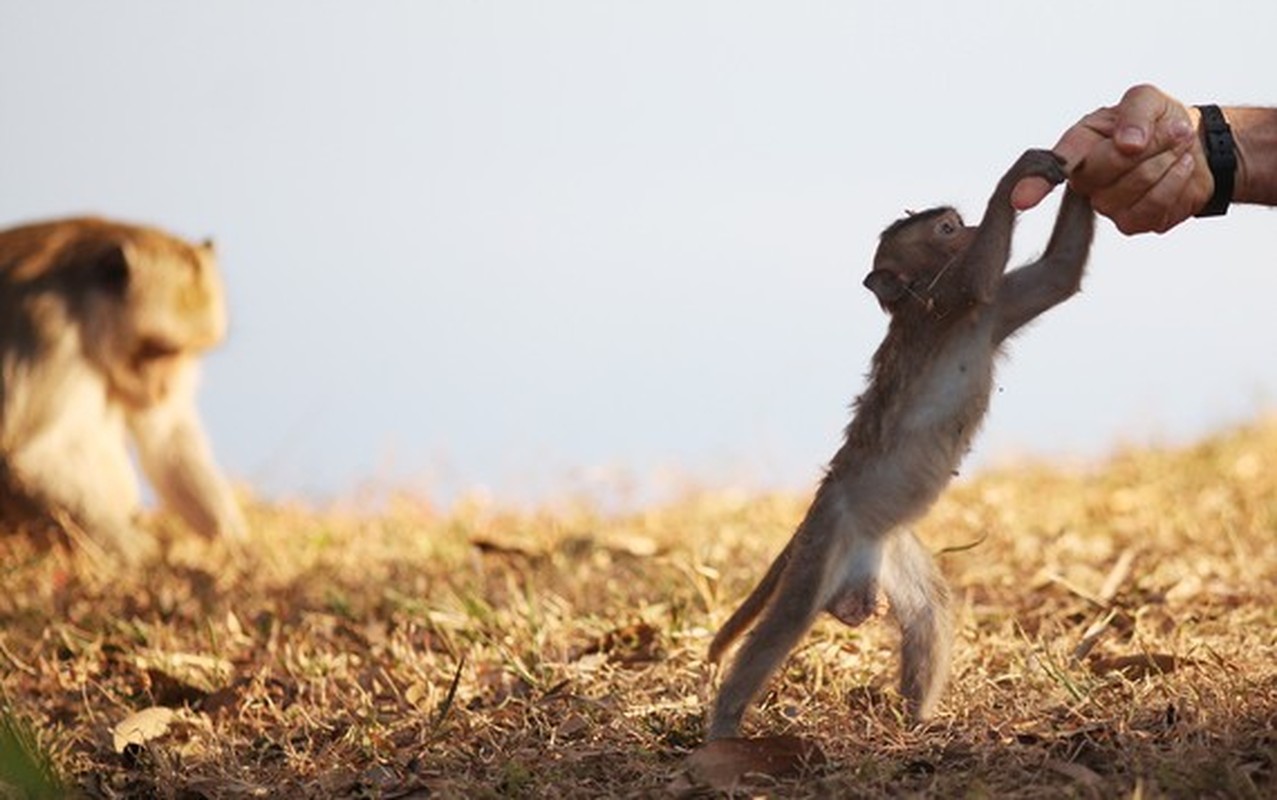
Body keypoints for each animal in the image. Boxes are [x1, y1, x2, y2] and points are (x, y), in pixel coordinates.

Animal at [704, 148, 1093, 736]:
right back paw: (724, 725)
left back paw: (918, 722)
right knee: (786, 620)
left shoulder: (991, 313)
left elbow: (1062, 271)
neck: (932, 309)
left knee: (929, 611)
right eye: (949, 229)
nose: (973, 228)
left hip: (886, 544)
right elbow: (978, 275)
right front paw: (1017, 175)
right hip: (828, 536)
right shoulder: (949, 302)